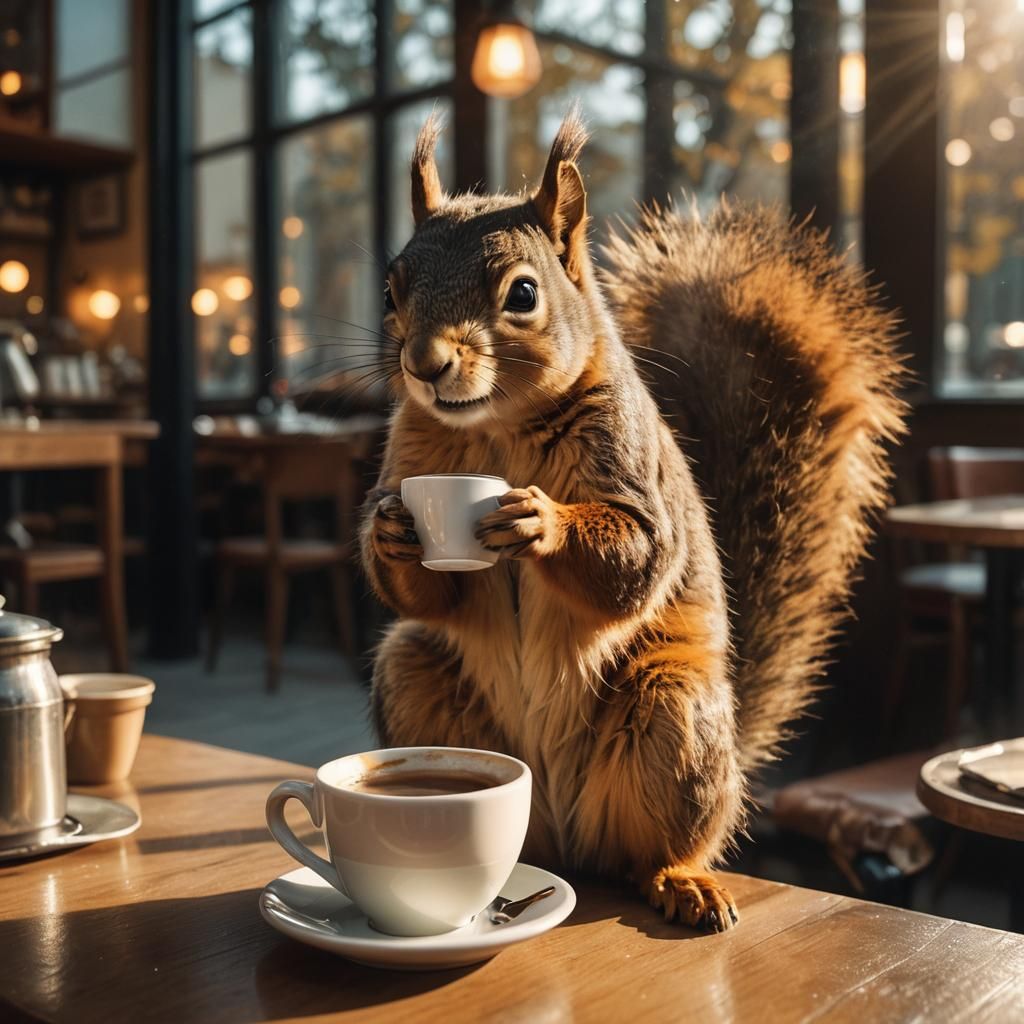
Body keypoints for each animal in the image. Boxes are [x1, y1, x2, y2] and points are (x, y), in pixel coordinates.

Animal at [360, 110, 907, 932]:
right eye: (392, 291)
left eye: (523, 294)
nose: (423, 363)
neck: (495, 430)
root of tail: (564, 830)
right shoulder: (409, 460)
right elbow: (428, 589)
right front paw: (389, 533)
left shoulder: (632, 466)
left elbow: (638, 559)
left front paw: (541, 521)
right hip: (416, 680)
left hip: (671, 714)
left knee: (649, 853)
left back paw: (681, 881)